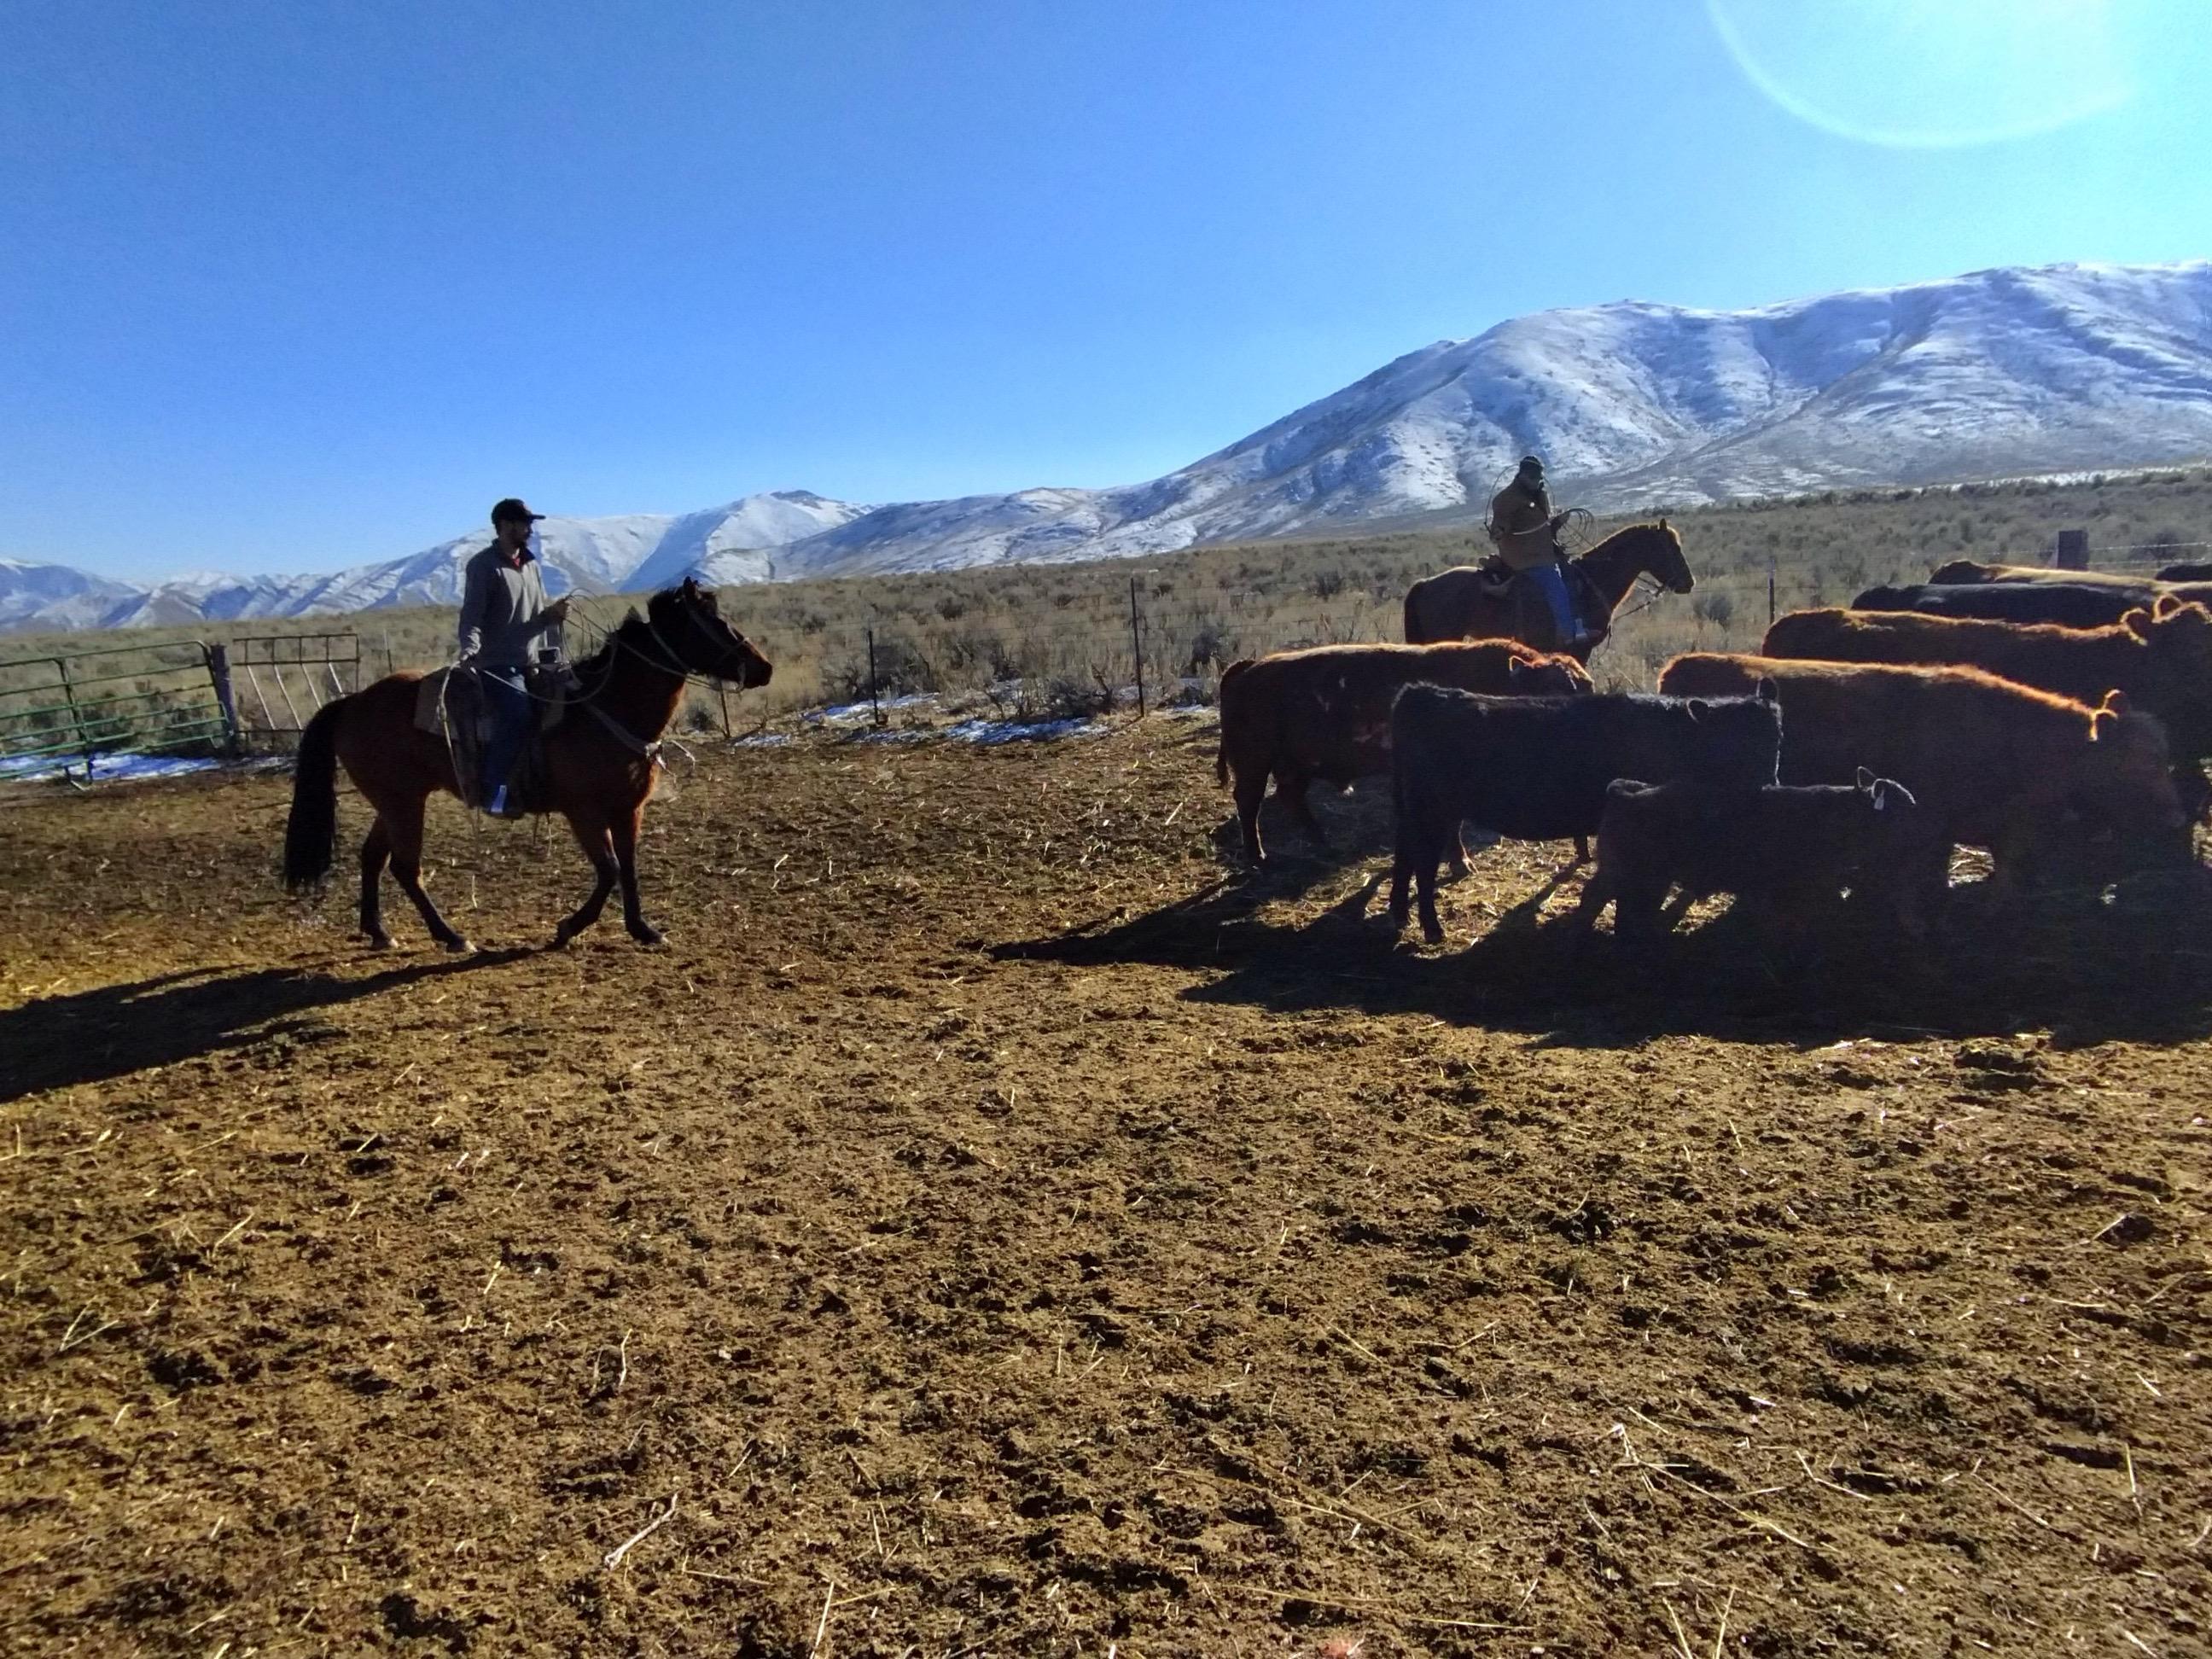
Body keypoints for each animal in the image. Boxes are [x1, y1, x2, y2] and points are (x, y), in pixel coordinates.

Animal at [282, 578, 772, 951]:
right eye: (713, 622)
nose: (763, 668)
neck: (607, 704)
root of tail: (351, 703)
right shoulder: (583, 812)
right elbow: (610, 870)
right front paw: (567, 928)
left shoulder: (629, 809)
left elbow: (629, 869)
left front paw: (643, 930)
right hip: (403, 803)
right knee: (404, 866)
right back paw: (451, 936)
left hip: (395, 801)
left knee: (373, 857)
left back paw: (380, 932)